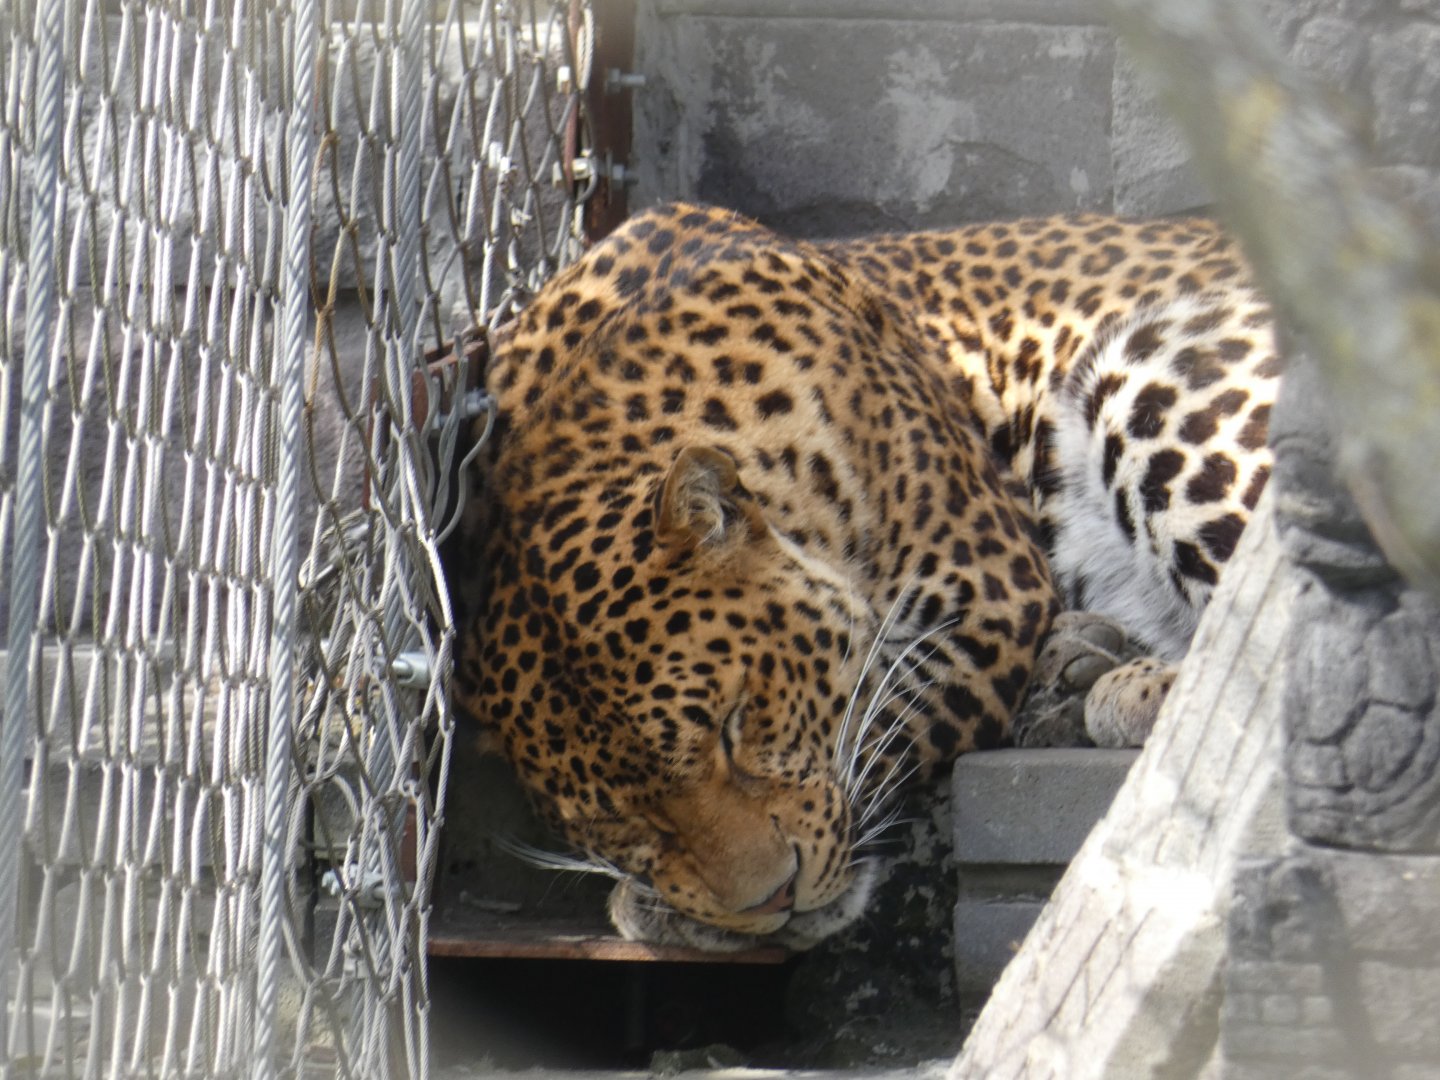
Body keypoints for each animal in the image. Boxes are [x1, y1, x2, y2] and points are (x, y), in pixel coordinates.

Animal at [452, 201, 1280, 951]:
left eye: (733, 724)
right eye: (616, 817)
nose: (773, 901)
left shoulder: (986, 592)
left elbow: (877, 707)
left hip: (1153, 367)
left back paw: (1130, 690)